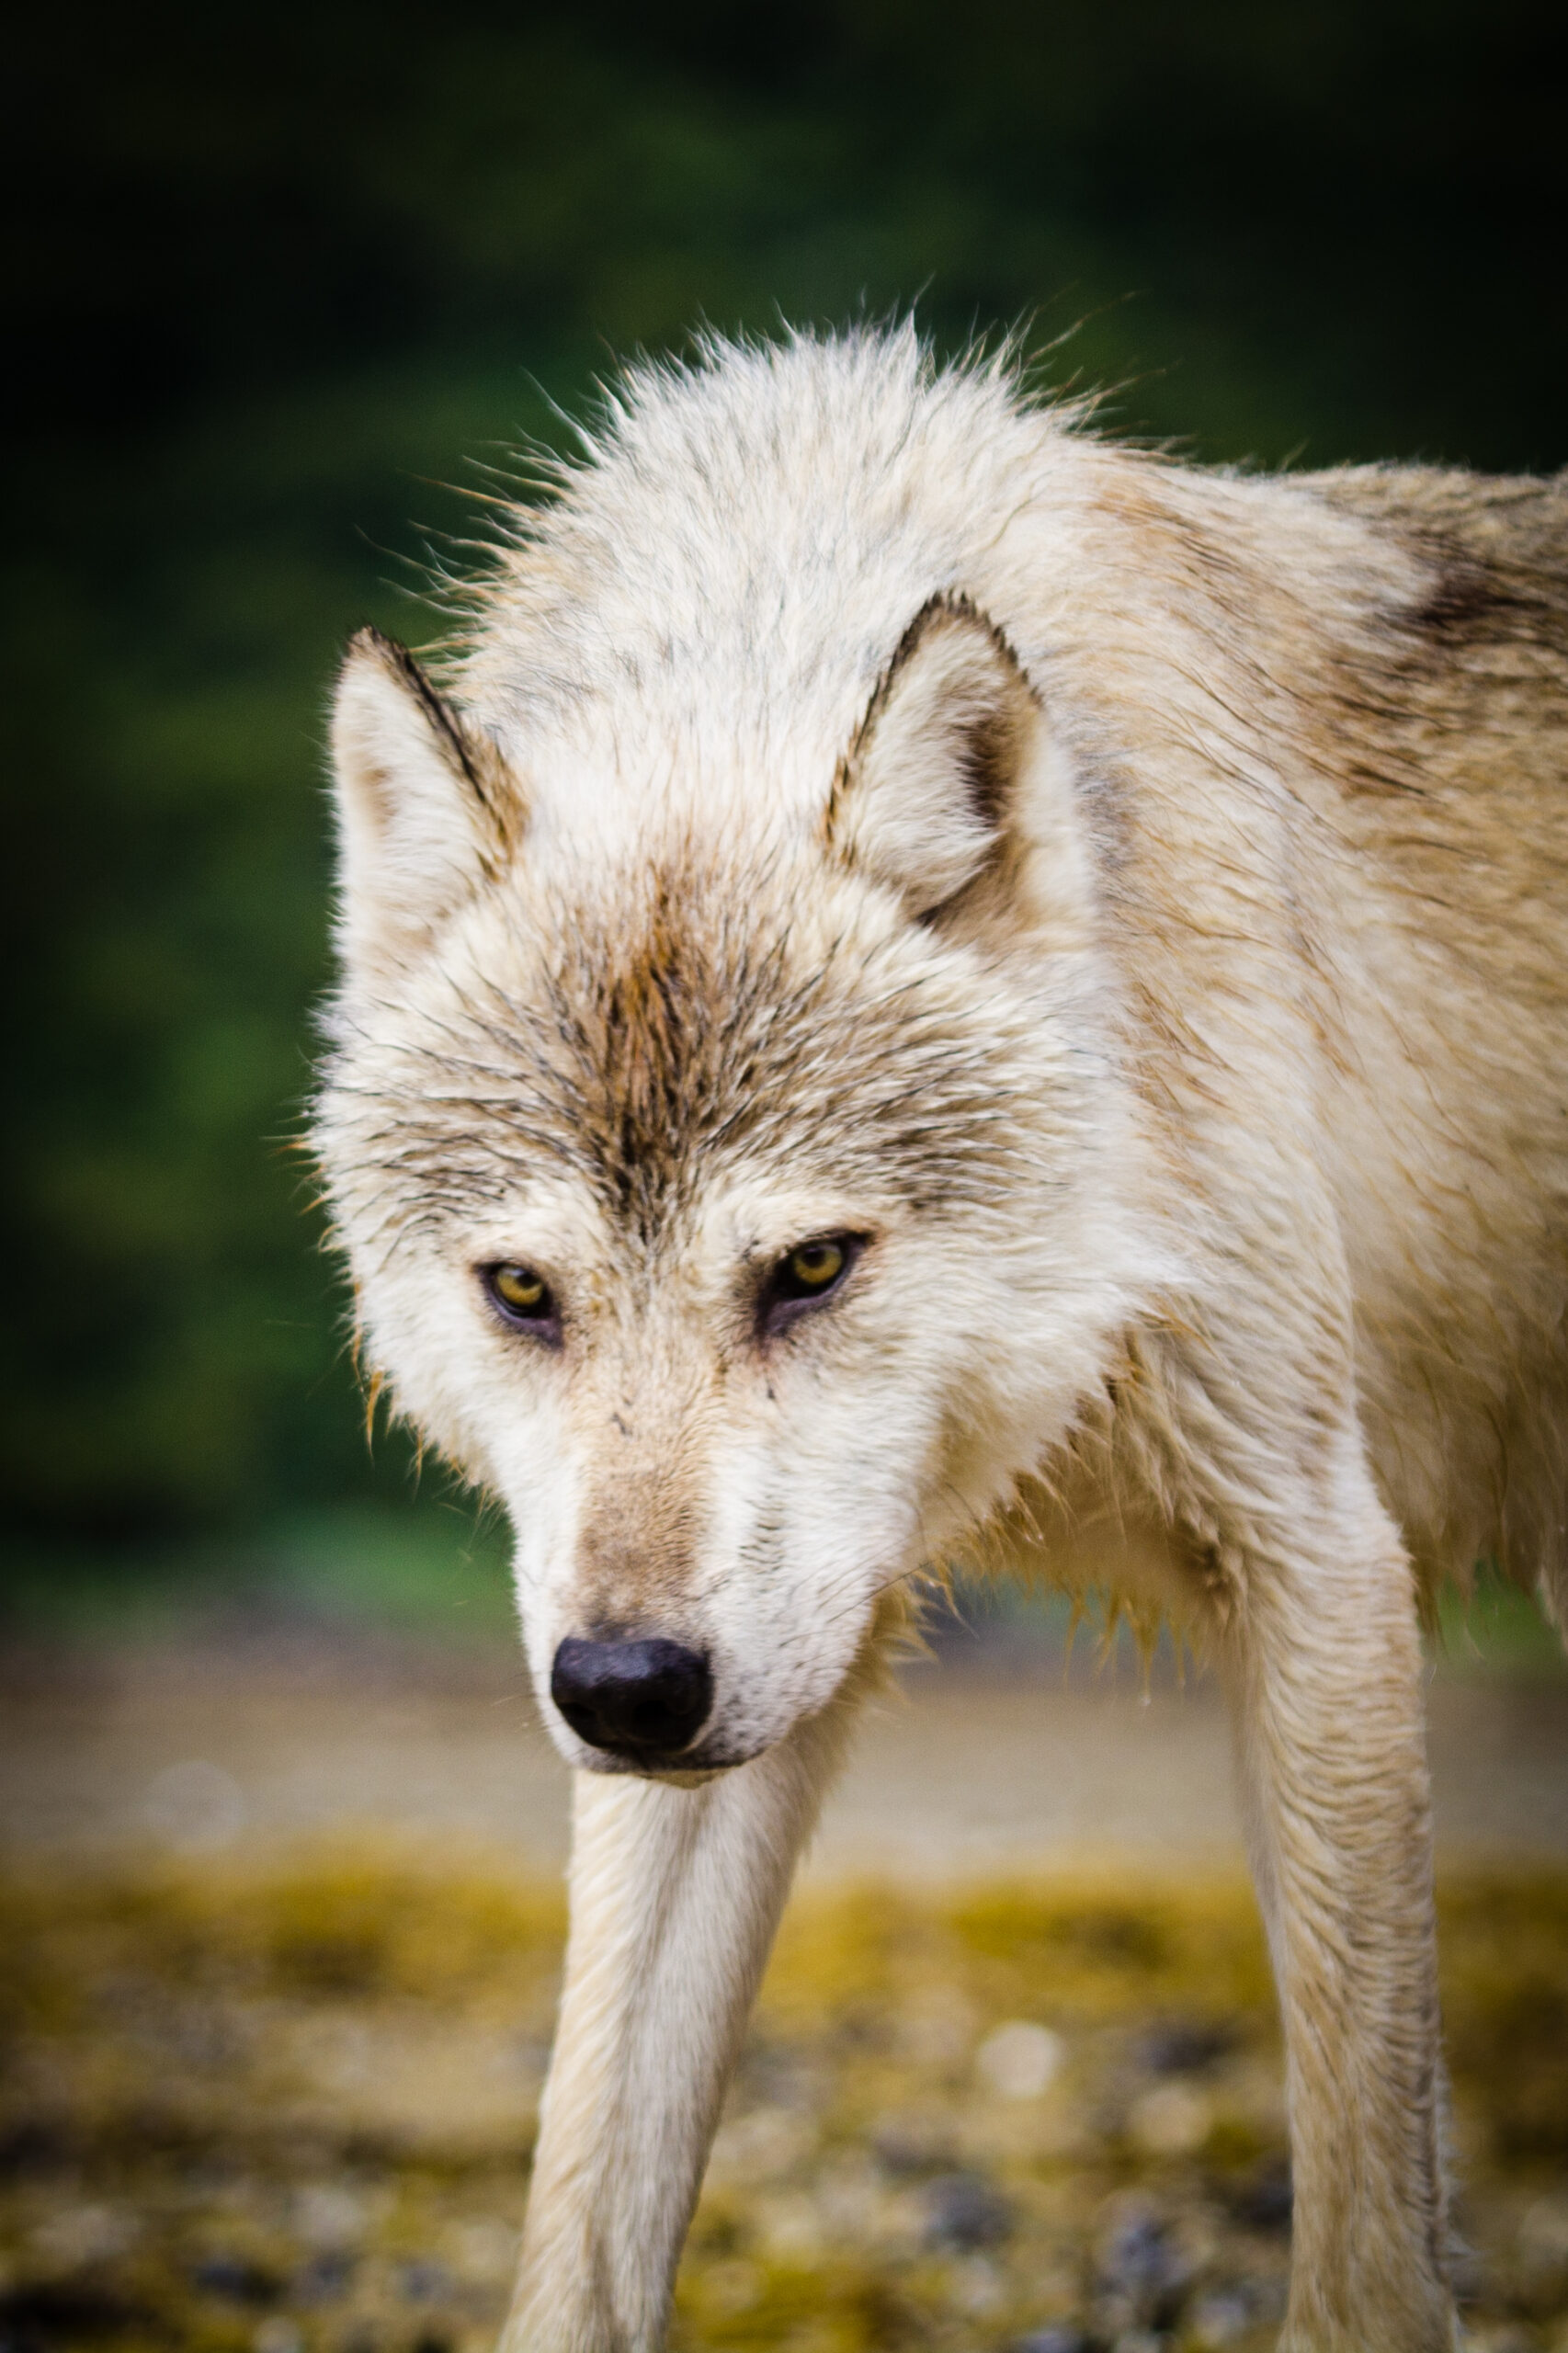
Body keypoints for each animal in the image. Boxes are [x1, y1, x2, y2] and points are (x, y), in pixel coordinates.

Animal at [313, 326, 1568, 2351]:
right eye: (523, 1293)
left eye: (813, 1266)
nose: (624, 1687)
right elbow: (580, 2227)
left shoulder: (1315, 1558)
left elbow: (1369, 2247)